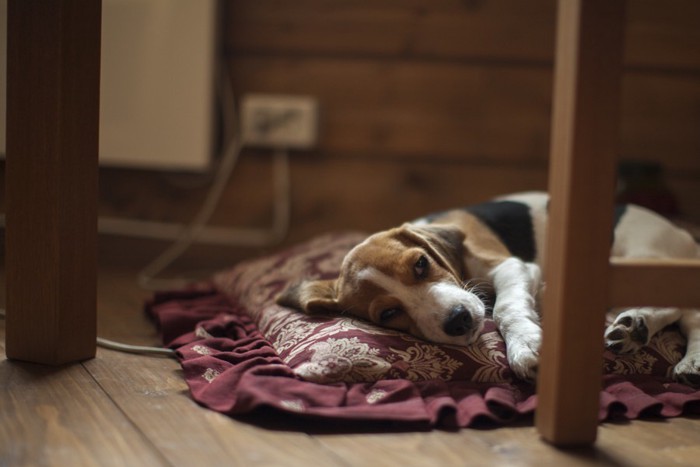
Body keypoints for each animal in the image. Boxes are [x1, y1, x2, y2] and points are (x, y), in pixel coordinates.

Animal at [274, 192, 700, 386]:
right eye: (389, 313)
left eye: (421, 264)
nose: (458, 320)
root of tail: (685, 236)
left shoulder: (510, 265)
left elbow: (507, 308)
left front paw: (527, 347)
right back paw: (665, 347)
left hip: (638, 258)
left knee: (678, 306)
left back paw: (637, 324)